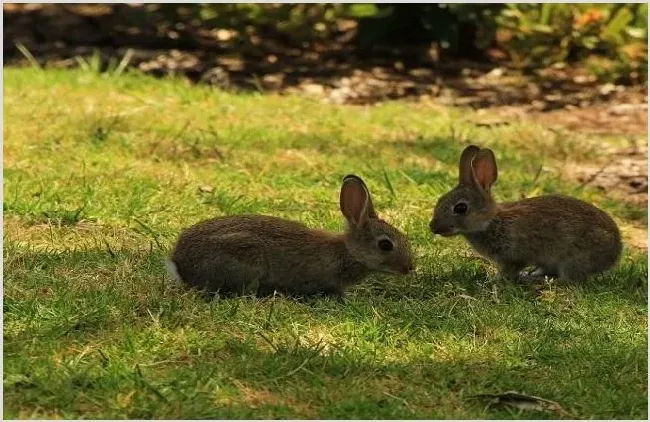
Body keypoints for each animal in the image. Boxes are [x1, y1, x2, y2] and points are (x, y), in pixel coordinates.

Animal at [428, 143, 620, 282]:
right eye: (440, 200)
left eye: (460, 208)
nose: (433, 227)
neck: (491, 222)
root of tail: (616, 251)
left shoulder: (514, 257)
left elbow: (510, 270)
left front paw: (495, 280)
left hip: (574, 258)